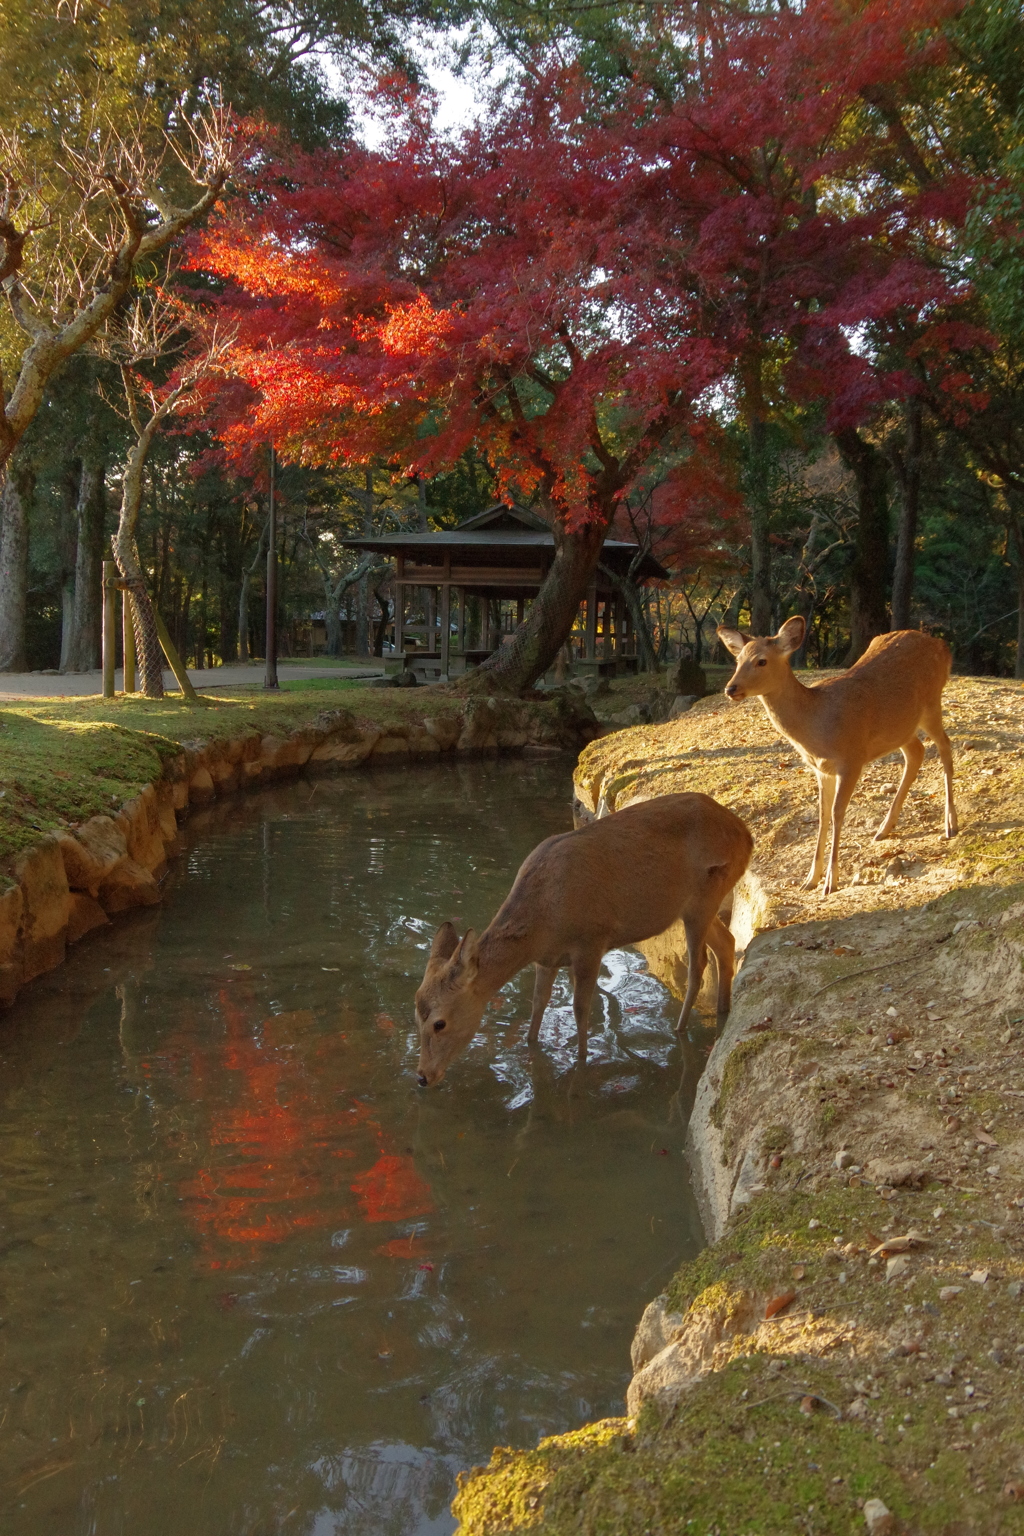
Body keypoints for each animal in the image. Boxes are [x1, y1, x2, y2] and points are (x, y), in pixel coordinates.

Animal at [414, 798, 752, 1087]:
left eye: (439, 1023)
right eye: (416, 1015)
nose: (422, 1077)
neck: (543, 924)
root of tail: (746, 836)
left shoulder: (592, 940)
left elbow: (580, 1008)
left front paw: (580, 1062)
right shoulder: (547, 959)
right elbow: (538, 1004)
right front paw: (531, 1048)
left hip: (706, 893)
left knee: (698, 965)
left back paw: (681, 1031)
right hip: (693, 906)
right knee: (727, 942)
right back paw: (723, 1011)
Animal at [718, 617, 957, 897]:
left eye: (761, 661)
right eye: (738, 660)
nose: (731, 688)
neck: (818, 725)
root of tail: (943, 647)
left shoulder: (852, 759)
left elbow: (836, 813)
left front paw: (831, 881)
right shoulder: (822, 769)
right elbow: (822, 815)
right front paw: (810, 878)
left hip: (931, 703)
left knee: (945, 747)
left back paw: (950, 824)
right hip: (901, 727)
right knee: (916, 752)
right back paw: (884, 829)